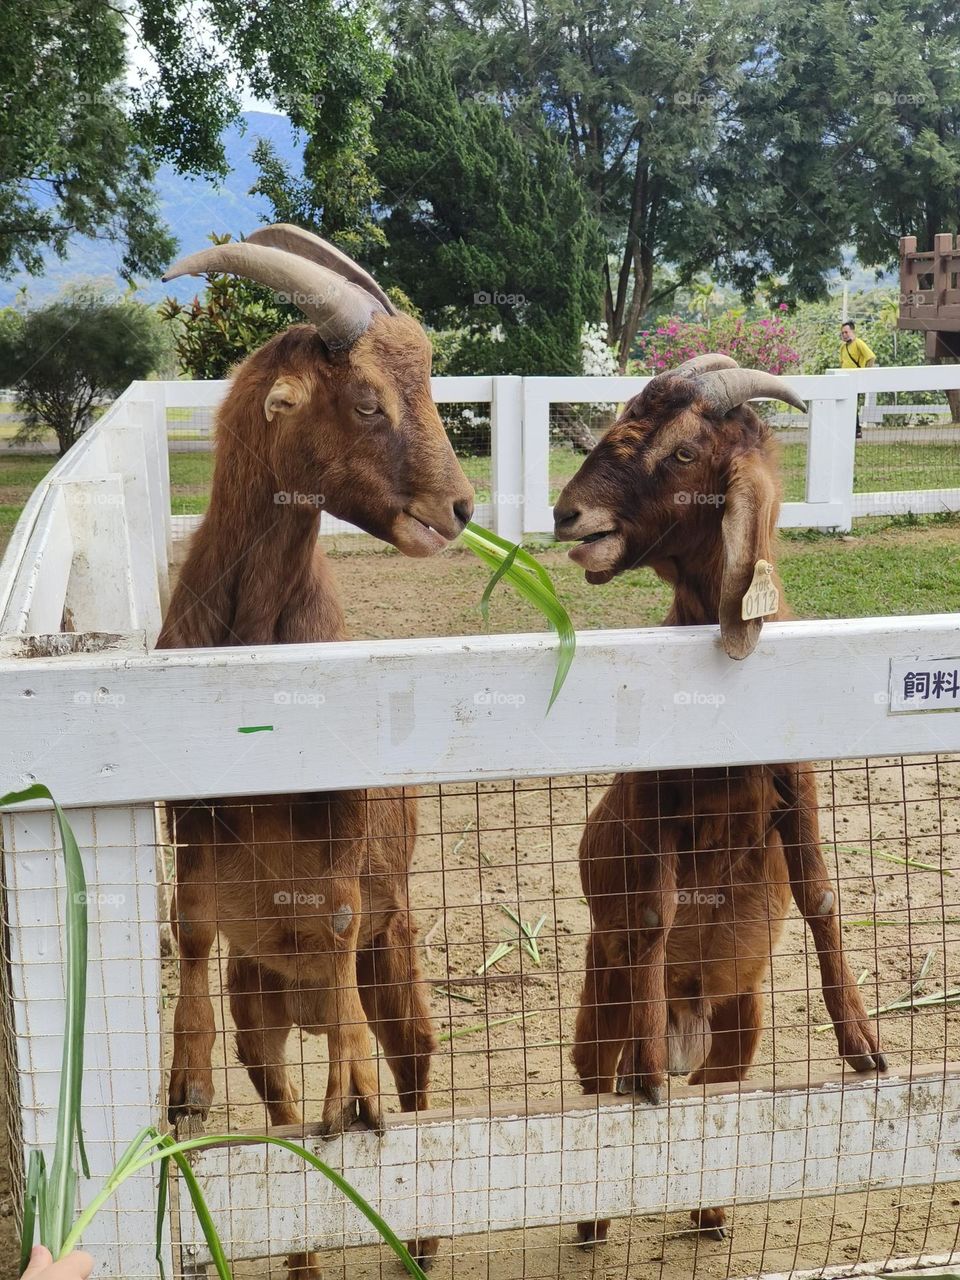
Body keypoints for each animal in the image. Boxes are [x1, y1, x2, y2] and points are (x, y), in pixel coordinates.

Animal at [157, 225, 475, 1273]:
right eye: (369, 400)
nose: (458, 509)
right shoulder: (188, 808)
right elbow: (189, 927)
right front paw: (184, 1085)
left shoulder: (342, 813)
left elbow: (334, 912)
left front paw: (352, 1094)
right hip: (262, 1008)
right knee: (282, 1126)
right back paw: (299, 1247)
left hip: (399, 961)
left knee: (417, 1078)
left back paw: (419, 1223)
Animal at [553, 354, 886, 1245]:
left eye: (680, 453)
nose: (568, 513)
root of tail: (689, 1023)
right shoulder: (660, 802)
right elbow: (659, 913)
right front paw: (646, 1074)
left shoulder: (794, 784)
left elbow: (820, 895)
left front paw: (863, 1045)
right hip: (596, 995)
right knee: (593, 1086)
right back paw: (597, 1211)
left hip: (744, 1018)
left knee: (717, 1101)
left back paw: (709, 1208)